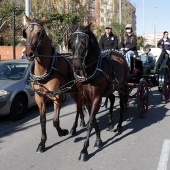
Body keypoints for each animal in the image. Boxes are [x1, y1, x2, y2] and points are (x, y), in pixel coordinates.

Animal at [22, 14, 86, 153]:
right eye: (26, 32)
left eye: (39, 32)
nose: (28, 53)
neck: (45, 69)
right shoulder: (40, 97)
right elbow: (43, 120)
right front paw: (42, 143)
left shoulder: (57, 95)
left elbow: (55, 120)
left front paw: (62, 132)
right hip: (72, 91)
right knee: (79, 105)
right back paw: (82, 122)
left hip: (78, 90)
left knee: (79, 106)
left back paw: (75, 127)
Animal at [68, 23, 128, 161]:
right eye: (71, 43)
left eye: (84, 43)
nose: (76, 66)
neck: (91, 71)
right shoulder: (86, 98)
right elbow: (93, 119)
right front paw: (98, 140)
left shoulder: (96, 97)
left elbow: (90, 122)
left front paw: (84, 150)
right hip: (111, 88)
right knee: (112, 99)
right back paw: (111, 123)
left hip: (122, 87)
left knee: (122, 104)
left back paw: (119, 125)